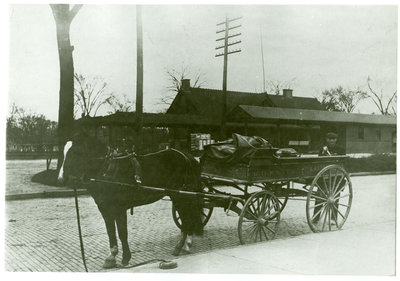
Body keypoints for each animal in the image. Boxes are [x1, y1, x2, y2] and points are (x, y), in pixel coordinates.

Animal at [57, 133, 205, 266]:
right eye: (63, 152)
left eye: (75, 152)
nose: (61, 179)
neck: (107, 170)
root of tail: (188, 156)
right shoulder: (105, 209)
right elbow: (110, 231)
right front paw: (111, 257)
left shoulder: (119, 209)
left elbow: (122, 233)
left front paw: (125, 258)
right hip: (178, 196)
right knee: (186, 217)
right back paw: (182, 245)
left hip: (182, 195)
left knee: (189, 217)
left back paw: (184, 245)